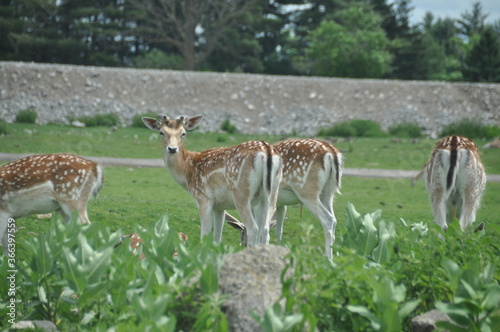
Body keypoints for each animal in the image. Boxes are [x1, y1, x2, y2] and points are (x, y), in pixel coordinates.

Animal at [142, 114, 282, 246]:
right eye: (161, 132)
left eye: (183, 133)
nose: (172, 149)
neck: (187, 172)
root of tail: (266, 151)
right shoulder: (220, 206)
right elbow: (217, 238)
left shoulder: (203, 198)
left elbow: (204, 235)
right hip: (272, 192)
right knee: (265, 229)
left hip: (241, 192)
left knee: (253, 228)